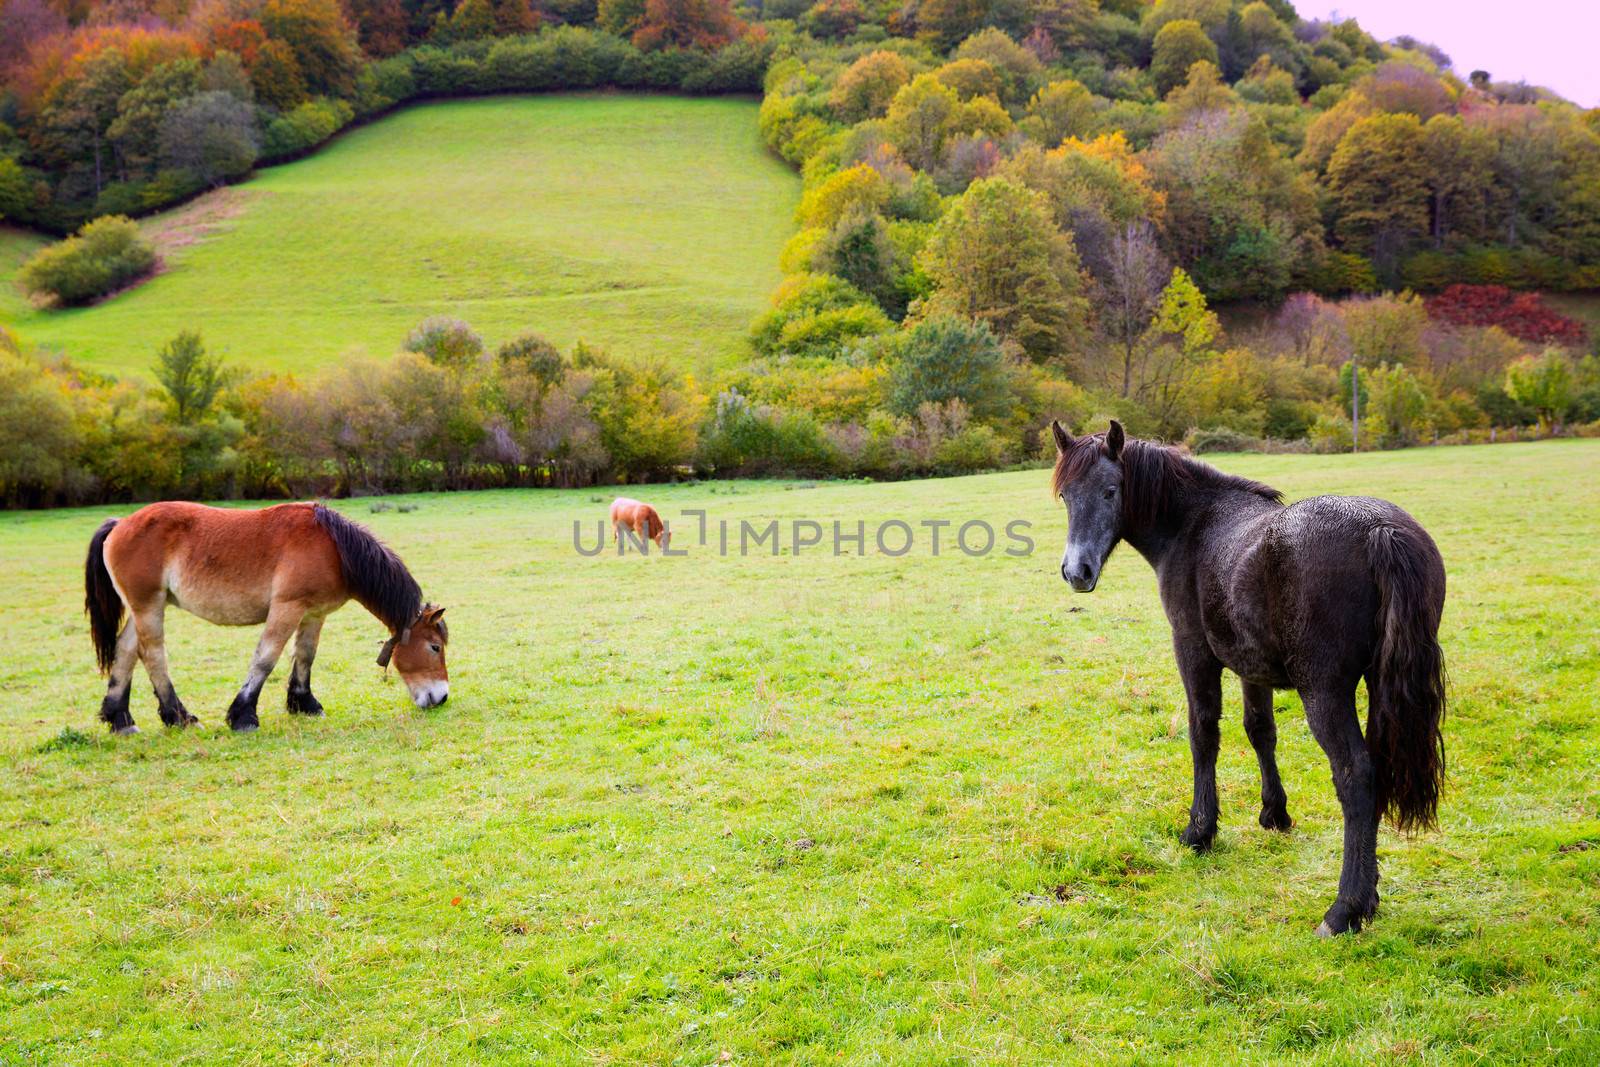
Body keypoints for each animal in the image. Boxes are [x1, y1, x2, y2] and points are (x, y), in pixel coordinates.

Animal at [87, 502, 451, 735]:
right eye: (434, 647)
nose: (442, 697)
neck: (334, 549)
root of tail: (120, 524)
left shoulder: (314, 613)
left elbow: (305, 656)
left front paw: (305, 704)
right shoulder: (287, 608)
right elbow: (266, 658)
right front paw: (243, 716)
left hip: (145, 607)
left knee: (126, 650)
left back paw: (120, 719)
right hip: (149, 606)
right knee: (152, 654)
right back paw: (178, 717)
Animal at [1049, 422, 1452, 940]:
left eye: (1111, 490)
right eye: (1065, 495)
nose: (1076, 572)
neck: (1194, 526)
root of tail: (1380, 530)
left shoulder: (1194, 653)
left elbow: (1203, 733)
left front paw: (1200, 830)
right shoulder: (1250, 665)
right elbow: (1261, 731)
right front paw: (1274, 813)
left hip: (1324, 692)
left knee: (1356, 776)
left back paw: (1344, 909)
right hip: (1380, 685)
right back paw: (1370, 896)